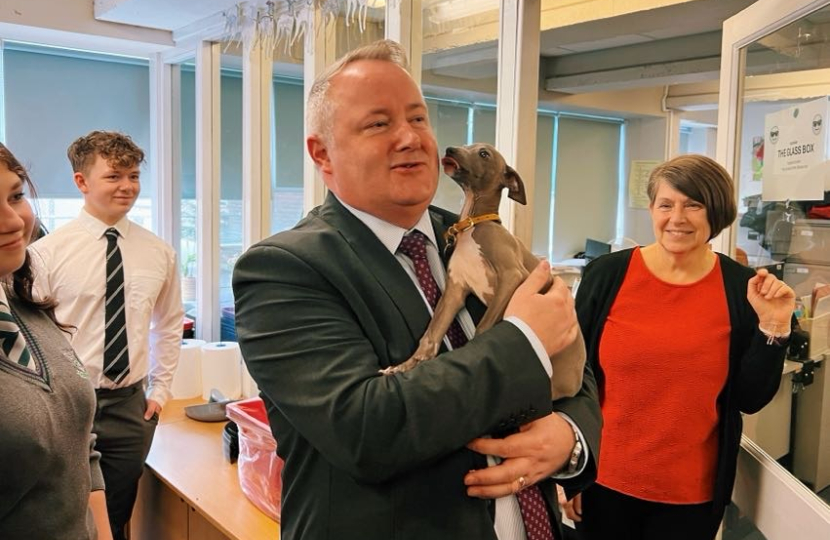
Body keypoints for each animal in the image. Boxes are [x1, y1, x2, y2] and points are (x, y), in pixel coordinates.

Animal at [386, 143, 588, 400]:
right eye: (467, 146)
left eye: (484, 154)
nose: (450, 149)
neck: (474, 223)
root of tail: (576, 380)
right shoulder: (455, 290)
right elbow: (431, 335)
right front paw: (404, 366)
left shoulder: (512, 274)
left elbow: (482, 330)